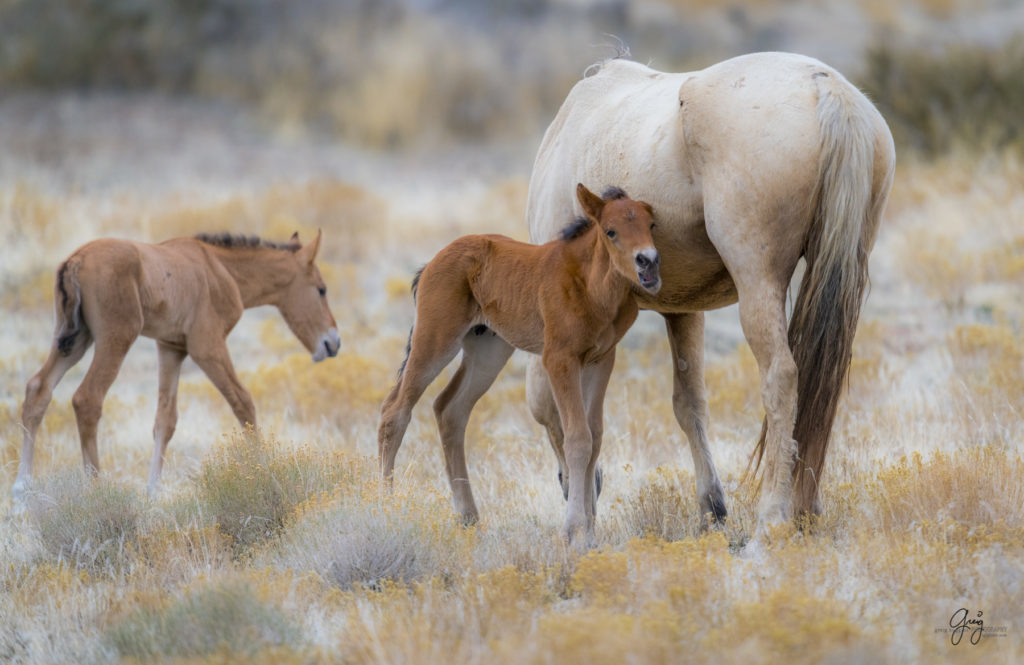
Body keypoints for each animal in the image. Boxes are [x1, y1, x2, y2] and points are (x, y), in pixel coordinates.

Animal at [524, 51, 892, 532]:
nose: (575, 487)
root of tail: (824, 85)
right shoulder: (683, 311)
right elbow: (689, 403)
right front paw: (711, 507)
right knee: (820, 382)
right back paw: (805, 509)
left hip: (758, 283)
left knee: (781, 377)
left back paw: (771, 518)